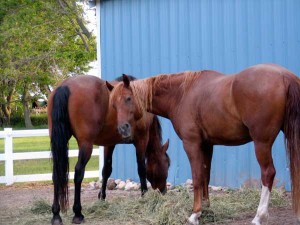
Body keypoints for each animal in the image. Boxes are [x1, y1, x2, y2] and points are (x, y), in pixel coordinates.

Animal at [47, 75, 169, 225]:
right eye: (167, 164)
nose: (164, 191)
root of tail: (65, 85)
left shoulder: (109, 144)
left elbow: (106, 170)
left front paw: (102, 197)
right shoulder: (141, 140)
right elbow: (141, 169)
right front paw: (144, 195)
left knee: (56, 174)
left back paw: (56, 214)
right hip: (86, 145)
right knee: (78, 173)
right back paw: (77, 213)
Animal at [108, 63, 300, 225]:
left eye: (128, 98)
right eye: (113, 105)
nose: (123, 129)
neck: (181, 95)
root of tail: (284, 76)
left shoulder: (191, 144)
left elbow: (197, 177)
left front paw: (195, 214)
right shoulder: (207, 145)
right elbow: (206, 175)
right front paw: (207, 210)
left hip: (262, 143)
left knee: (268, 173)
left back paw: (259, 216)